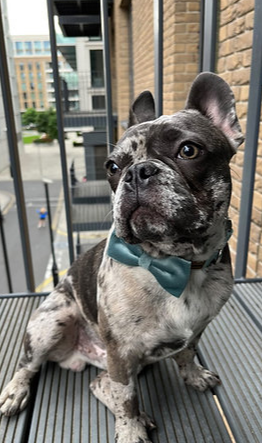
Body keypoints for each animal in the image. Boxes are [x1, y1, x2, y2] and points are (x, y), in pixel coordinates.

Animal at [0, 73, 244, 443]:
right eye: (112, 166)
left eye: (189, 150)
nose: (137, 172)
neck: (177, 263)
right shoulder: (122, 350)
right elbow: (127, 398)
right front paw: (130, 430)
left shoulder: (197, 330)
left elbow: (186, 354)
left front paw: (193, 375)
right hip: (52, 324)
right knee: (31, 364)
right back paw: (15, 391)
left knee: (101, 384)